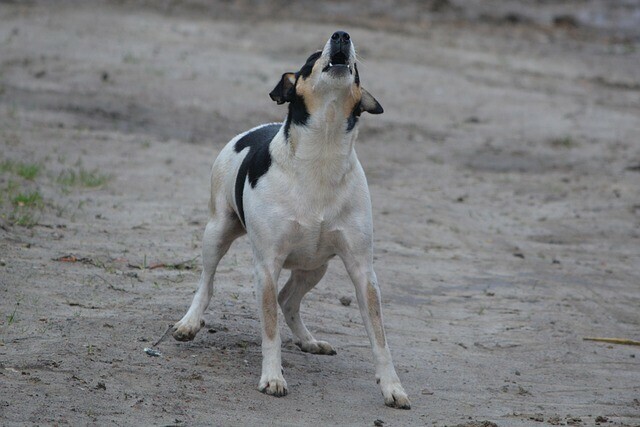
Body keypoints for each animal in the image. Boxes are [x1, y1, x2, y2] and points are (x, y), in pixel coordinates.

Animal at [170, 30, 410, 412]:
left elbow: (379, 337)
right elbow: (269, 329)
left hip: (315, 266)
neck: (322, 153)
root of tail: (256, 129)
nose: (341, 35)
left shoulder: (362, 269)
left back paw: (309, 340)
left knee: (289, 300)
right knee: (207, 283)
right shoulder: (267, 265)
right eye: (312, 58)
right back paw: (190, 323)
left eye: (357, 68)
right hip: (217, 232)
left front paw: (392, 387)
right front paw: (272, 378)